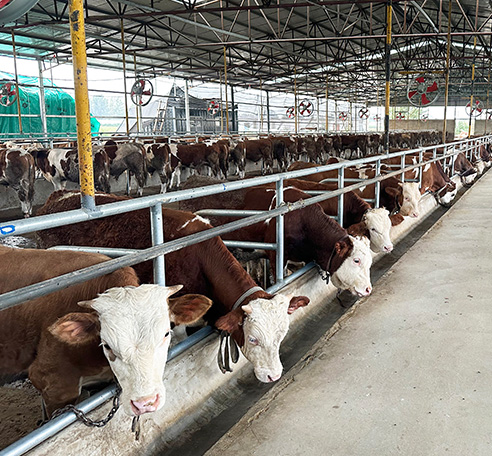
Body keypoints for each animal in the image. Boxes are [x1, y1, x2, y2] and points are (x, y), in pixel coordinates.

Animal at [36, 191, 311, 383]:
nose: (274, 375)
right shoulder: (175, 321)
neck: (199, 255)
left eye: (282, 334)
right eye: (253, 339)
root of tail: (58, 196)